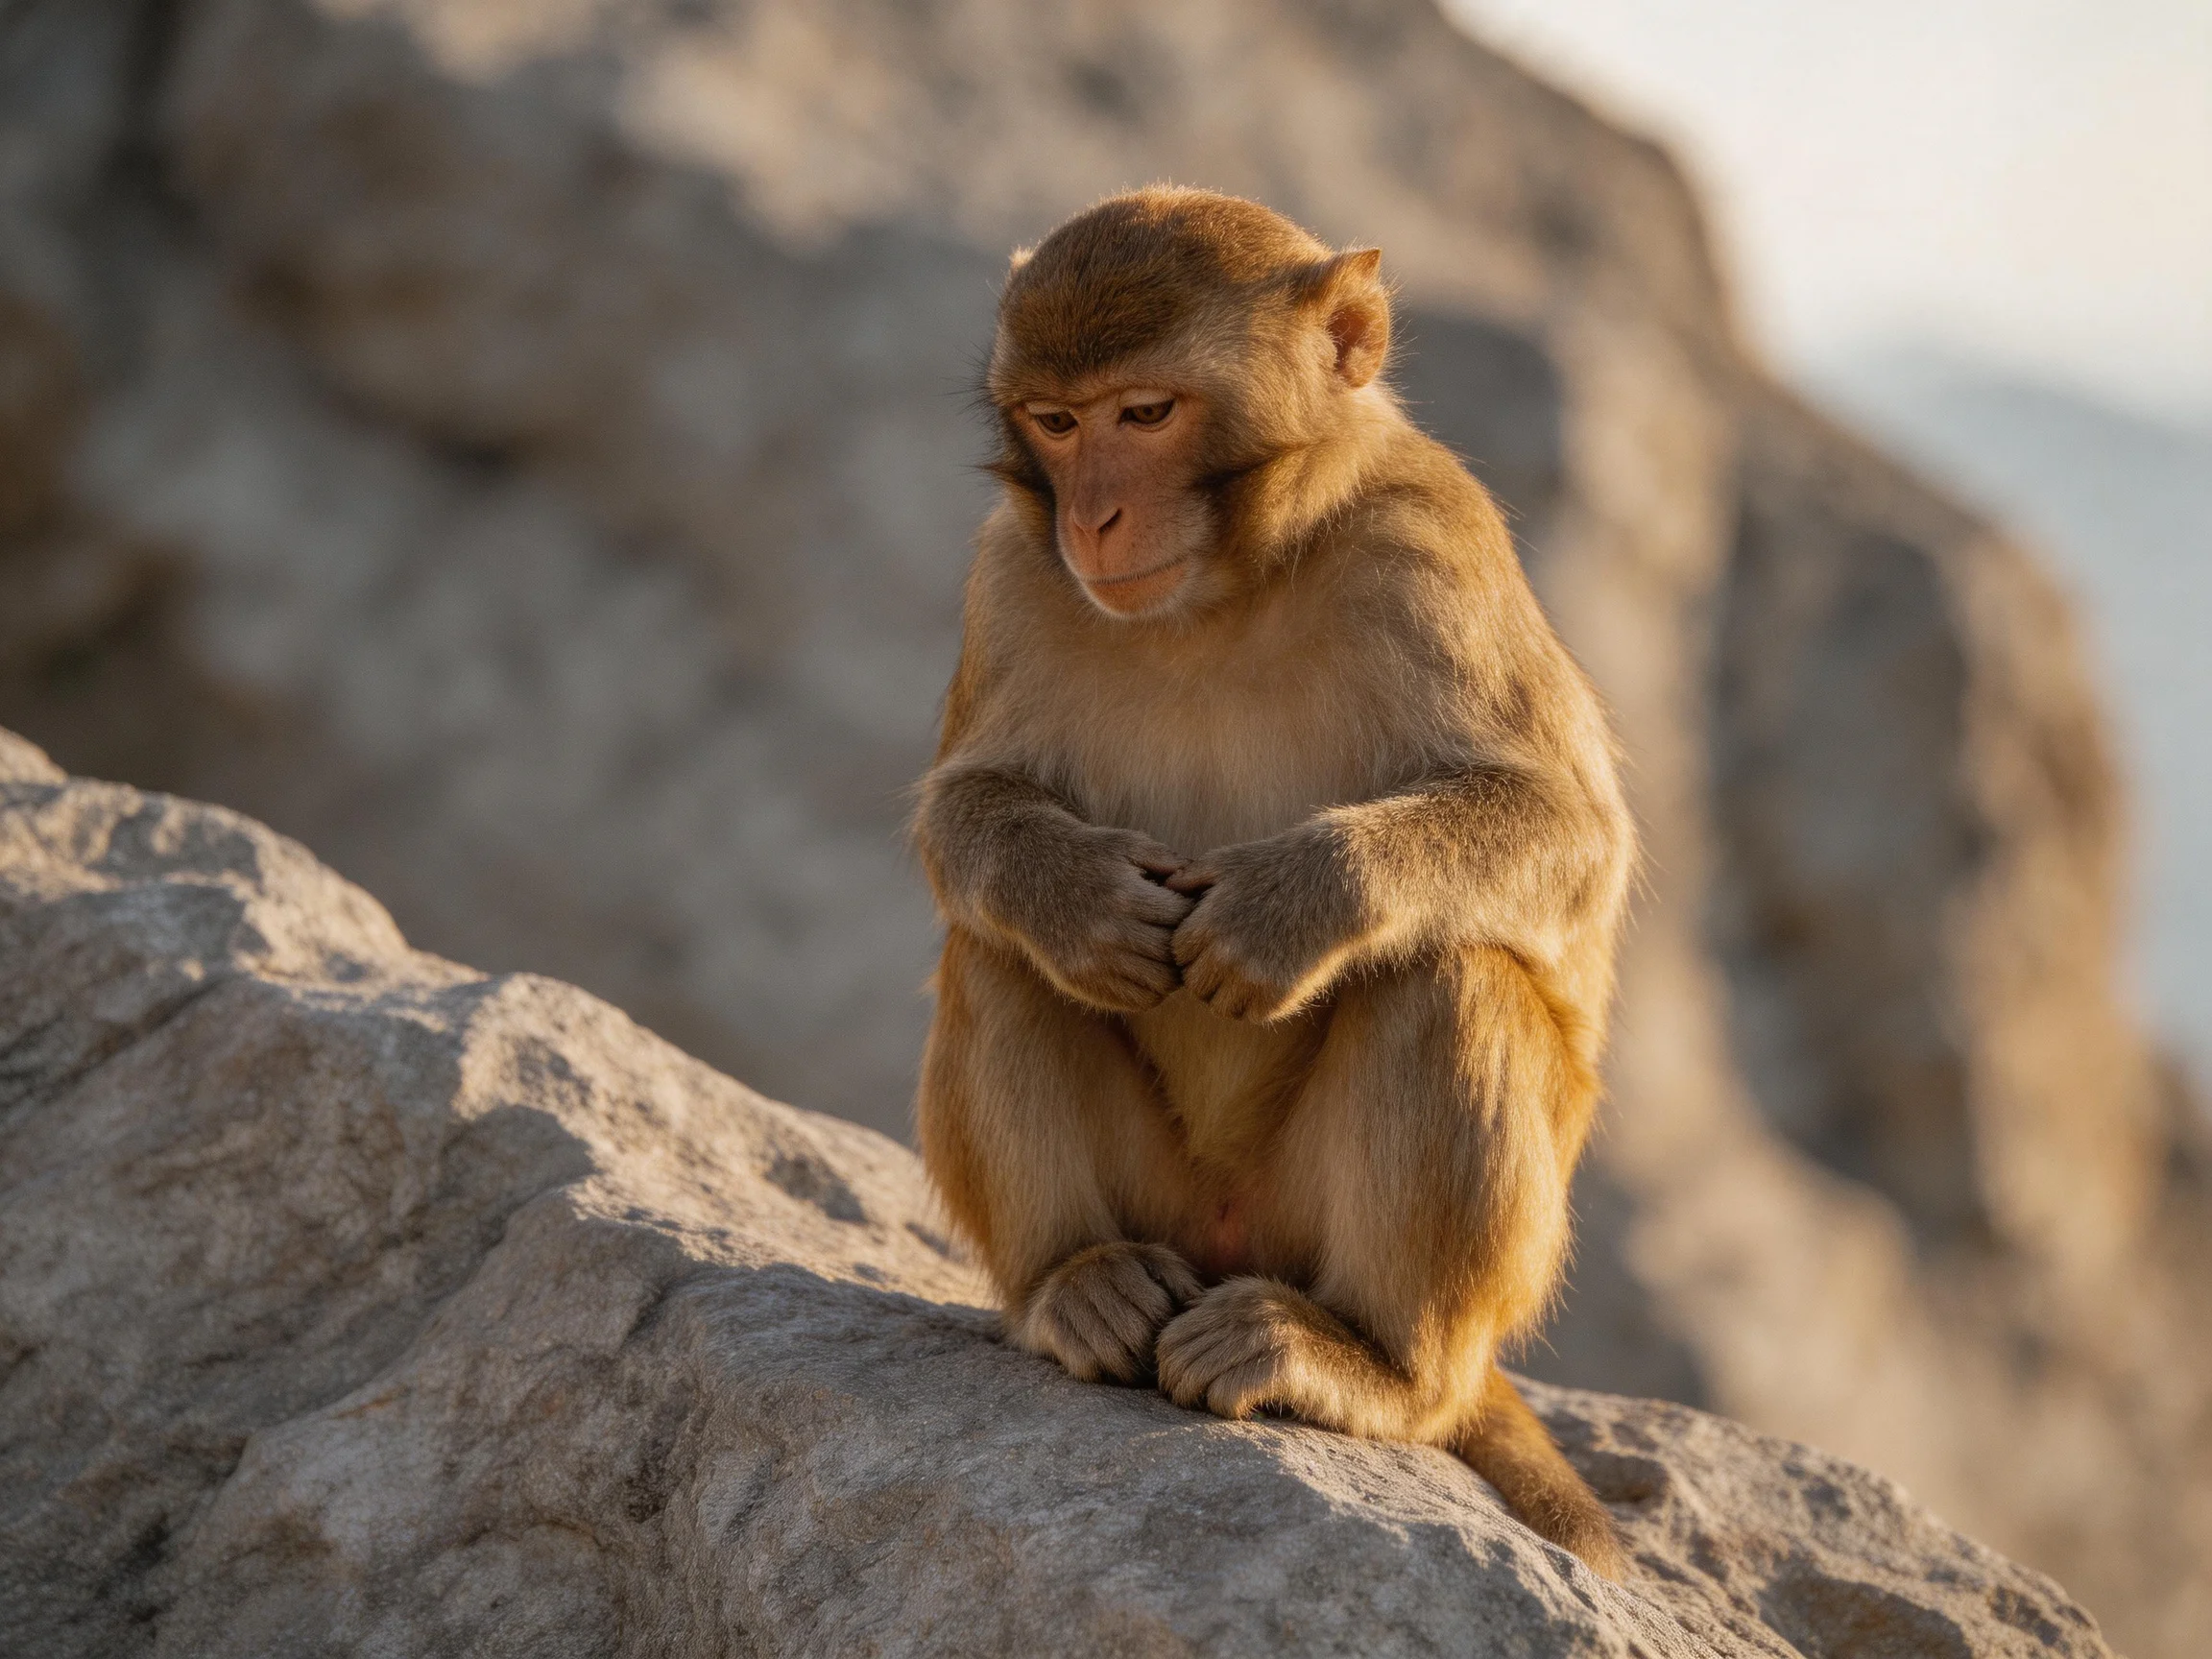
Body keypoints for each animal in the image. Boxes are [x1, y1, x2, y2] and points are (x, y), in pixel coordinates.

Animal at [911, 187, 1636, 1579]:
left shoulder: (1429, 552)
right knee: (992, 951)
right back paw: (1077, 1282)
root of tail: (1228, 1239)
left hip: (1362, 1249)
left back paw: (1371, 1368)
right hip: (1170, 1208)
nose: (1092, 518)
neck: (1223, 592)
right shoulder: (1010, 572)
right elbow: (961, 812)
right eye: (1058, 422)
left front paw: (1293, 906)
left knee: (1450, 977)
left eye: (1146, 414)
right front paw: (1075, 896)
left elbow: (1572, 833)